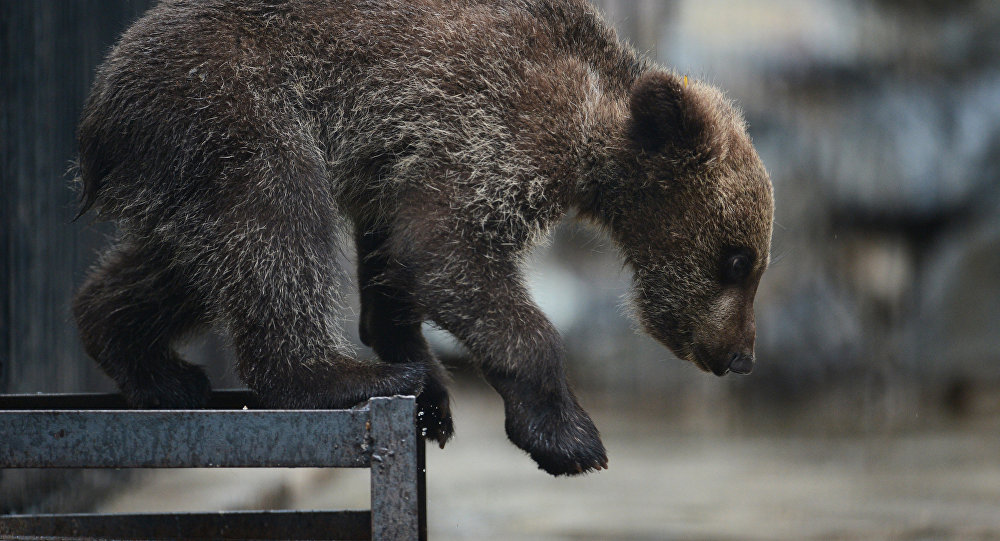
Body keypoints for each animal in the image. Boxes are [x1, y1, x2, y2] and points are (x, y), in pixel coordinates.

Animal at [72, 0, 772, 474]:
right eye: (737, 260)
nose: (740, 355)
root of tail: (99, 104)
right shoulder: (498, 120)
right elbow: (444, 246)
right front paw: (568, 436)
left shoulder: (400, 157)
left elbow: (397, 257)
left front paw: (430, 389)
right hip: (231, 101)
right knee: (276, 222)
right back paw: (339, 376)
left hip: (184, 166)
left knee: (190, 261)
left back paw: (153, 367)